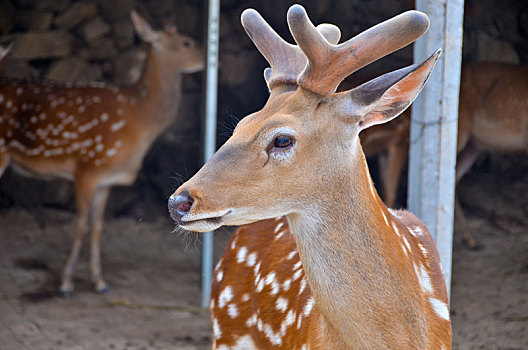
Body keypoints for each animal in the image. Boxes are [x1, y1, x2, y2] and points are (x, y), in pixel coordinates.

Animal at [0, 10, 203, 296]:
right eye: (186, 42)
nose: (207, 59)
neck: (139, 119)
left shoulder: (107, 178)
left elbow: (97, 227)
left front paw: (99, 282)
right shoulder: (88, 166)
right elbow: (81, 225)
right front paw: (66, 283)